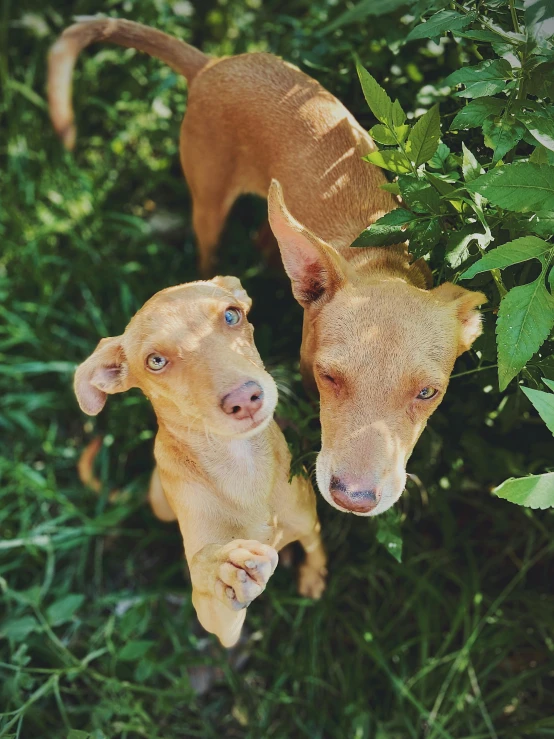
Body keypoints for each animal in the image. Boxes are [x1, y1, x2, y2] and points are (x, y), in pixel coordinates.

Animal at [49, 17, 486, 516]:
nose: (353, 499)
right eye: (328, 377)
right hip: (208, 199)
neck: (382, 261)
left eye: (428, 393)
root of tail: (214, 62)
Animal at [73, 278, 324, 648]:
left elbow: (315, 549)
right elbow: (214, 595)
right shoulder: (218, 624)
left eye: (232, 315)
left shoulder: (309, 524)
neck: (241, 467)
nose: (244, 398)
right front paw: (224, 574)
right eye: (156, 361)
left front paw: (313, 576)